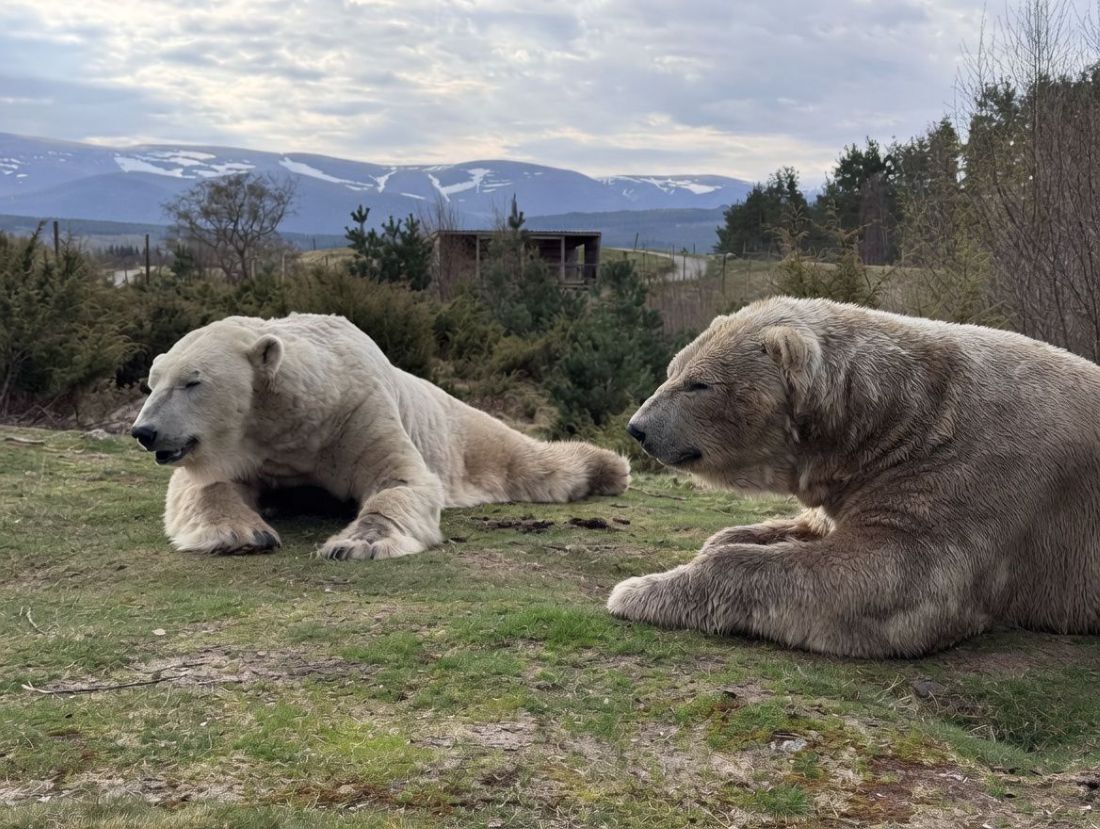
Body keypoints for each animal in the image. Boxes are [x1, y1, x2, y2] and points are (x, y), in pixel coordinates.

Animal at [130, 313, 629, 560]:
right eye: (152, 382)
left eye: (193, 382)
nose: (144, 431)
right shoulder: (250, 447)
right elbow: (206, 486)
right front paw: (241, 532)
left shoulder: (356, 414)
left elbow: (399, 481)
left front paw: (356, 544)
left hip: (462, 430)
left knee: (525, 461)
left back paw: (609, 469)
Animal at [608, 296, 1100, 658]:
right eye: (673, 370)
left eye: (699, 384)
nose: (638, 428)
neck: (904, 419)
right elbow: (806, 525)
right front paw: (727, 539)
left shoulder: (971, 477)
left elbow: (895, 575)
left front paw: (638, 591)